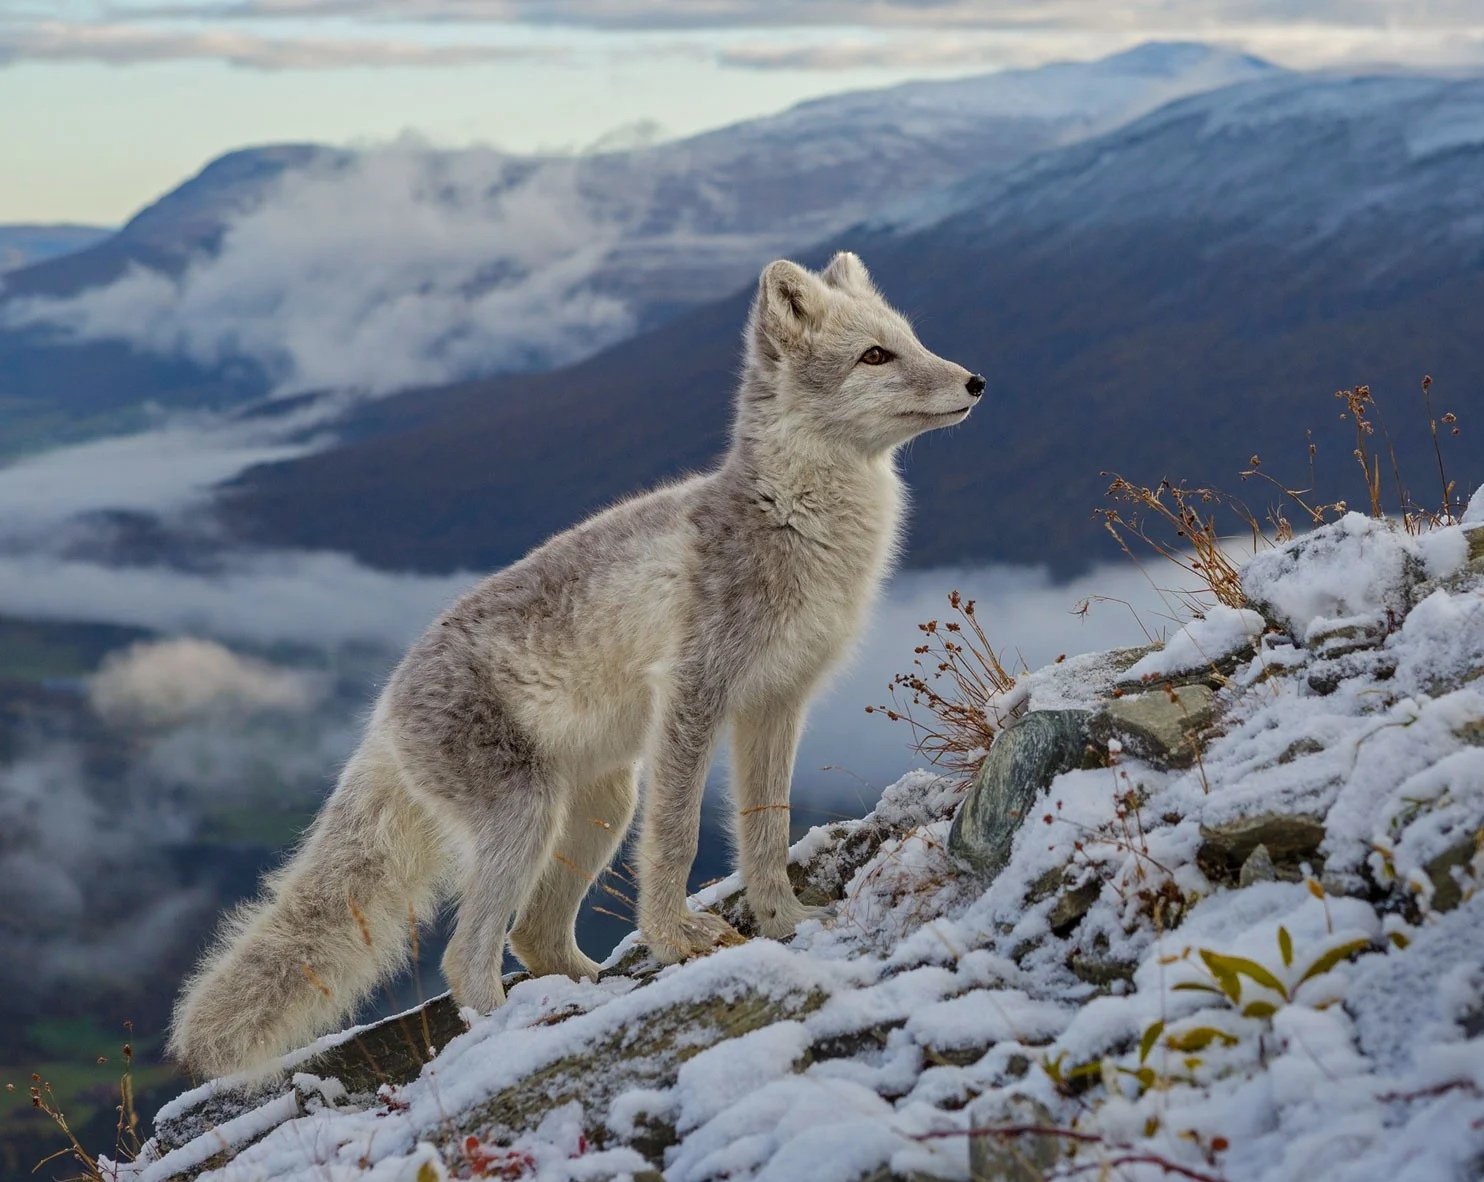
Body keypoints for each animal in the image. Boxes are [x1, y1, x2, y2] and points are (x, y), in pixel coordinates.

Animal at [169, 251, 984, 1079]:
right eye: (875, 357)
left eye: (912, 339)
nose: (977, 381)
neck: (795, 521)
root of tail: (382, 710)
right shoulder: (694, 698)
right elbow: (678, 839)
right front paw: (678, 941)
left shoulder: (777, 706)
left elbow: (765, 834)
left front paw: (786, 920)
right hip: (529, 815)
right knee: (469, 956)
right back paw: (512, 1028)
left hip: (599, 805)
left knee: (532, 936)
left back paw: (587, 990)